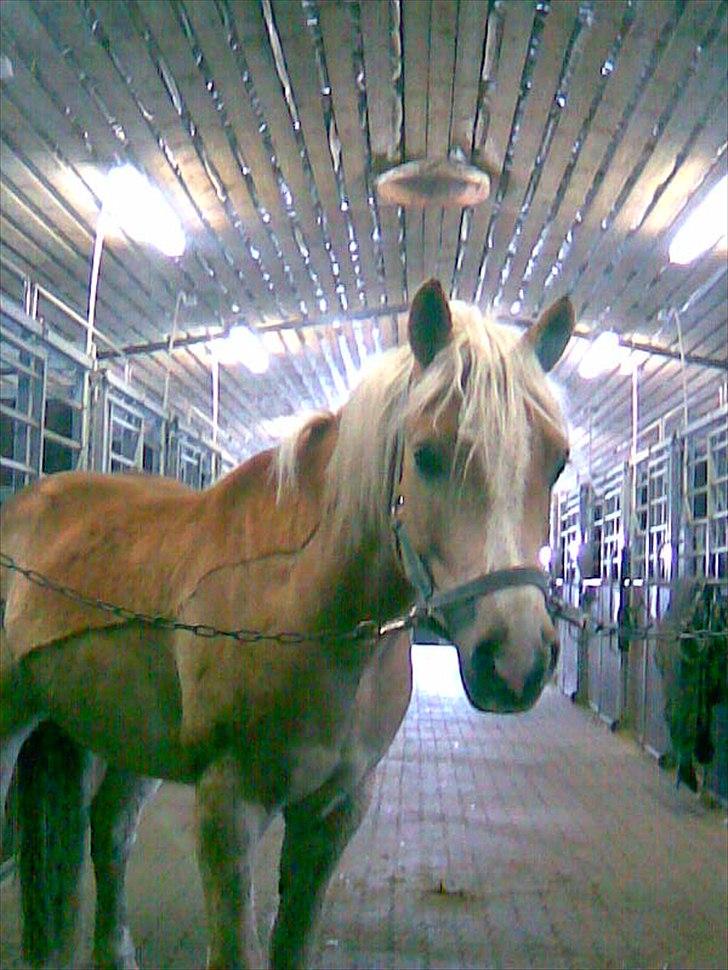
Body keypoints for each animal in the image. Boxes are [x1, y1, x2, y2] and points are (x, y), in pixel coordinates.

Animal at [0, 276, 576, 964]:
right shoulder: (229, 809)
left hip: (113, 733)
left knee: (111, 831)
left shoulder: (335, 811)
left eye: (558, 462)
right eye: (427, 455)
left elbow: (293, 941)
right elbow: (238, 949)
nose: (516, 661)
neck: (309, 608)